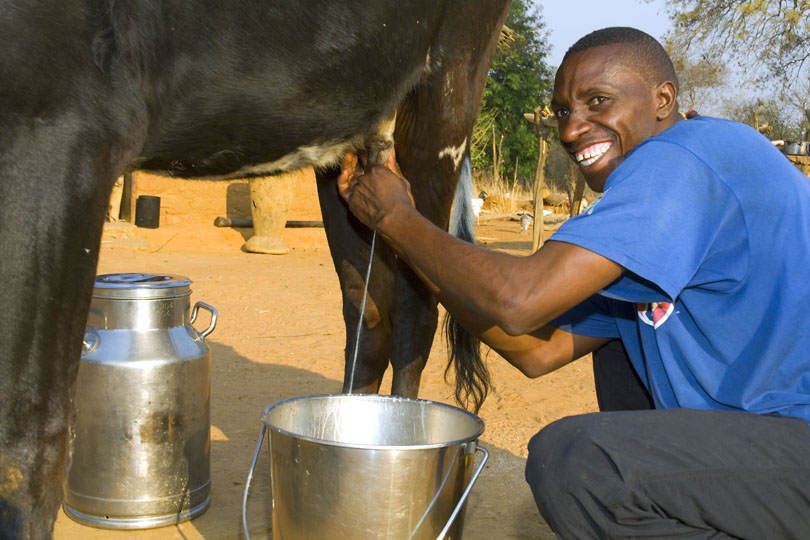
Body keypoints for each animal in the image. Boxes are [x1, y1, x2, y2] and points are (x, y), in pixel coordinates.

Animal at [0, 2, 508, 536]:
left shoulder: (65, 124)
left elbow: (28, 445)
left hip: (445, 99)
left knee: (416, 311)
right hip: (347, 150)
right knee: (367, 314)